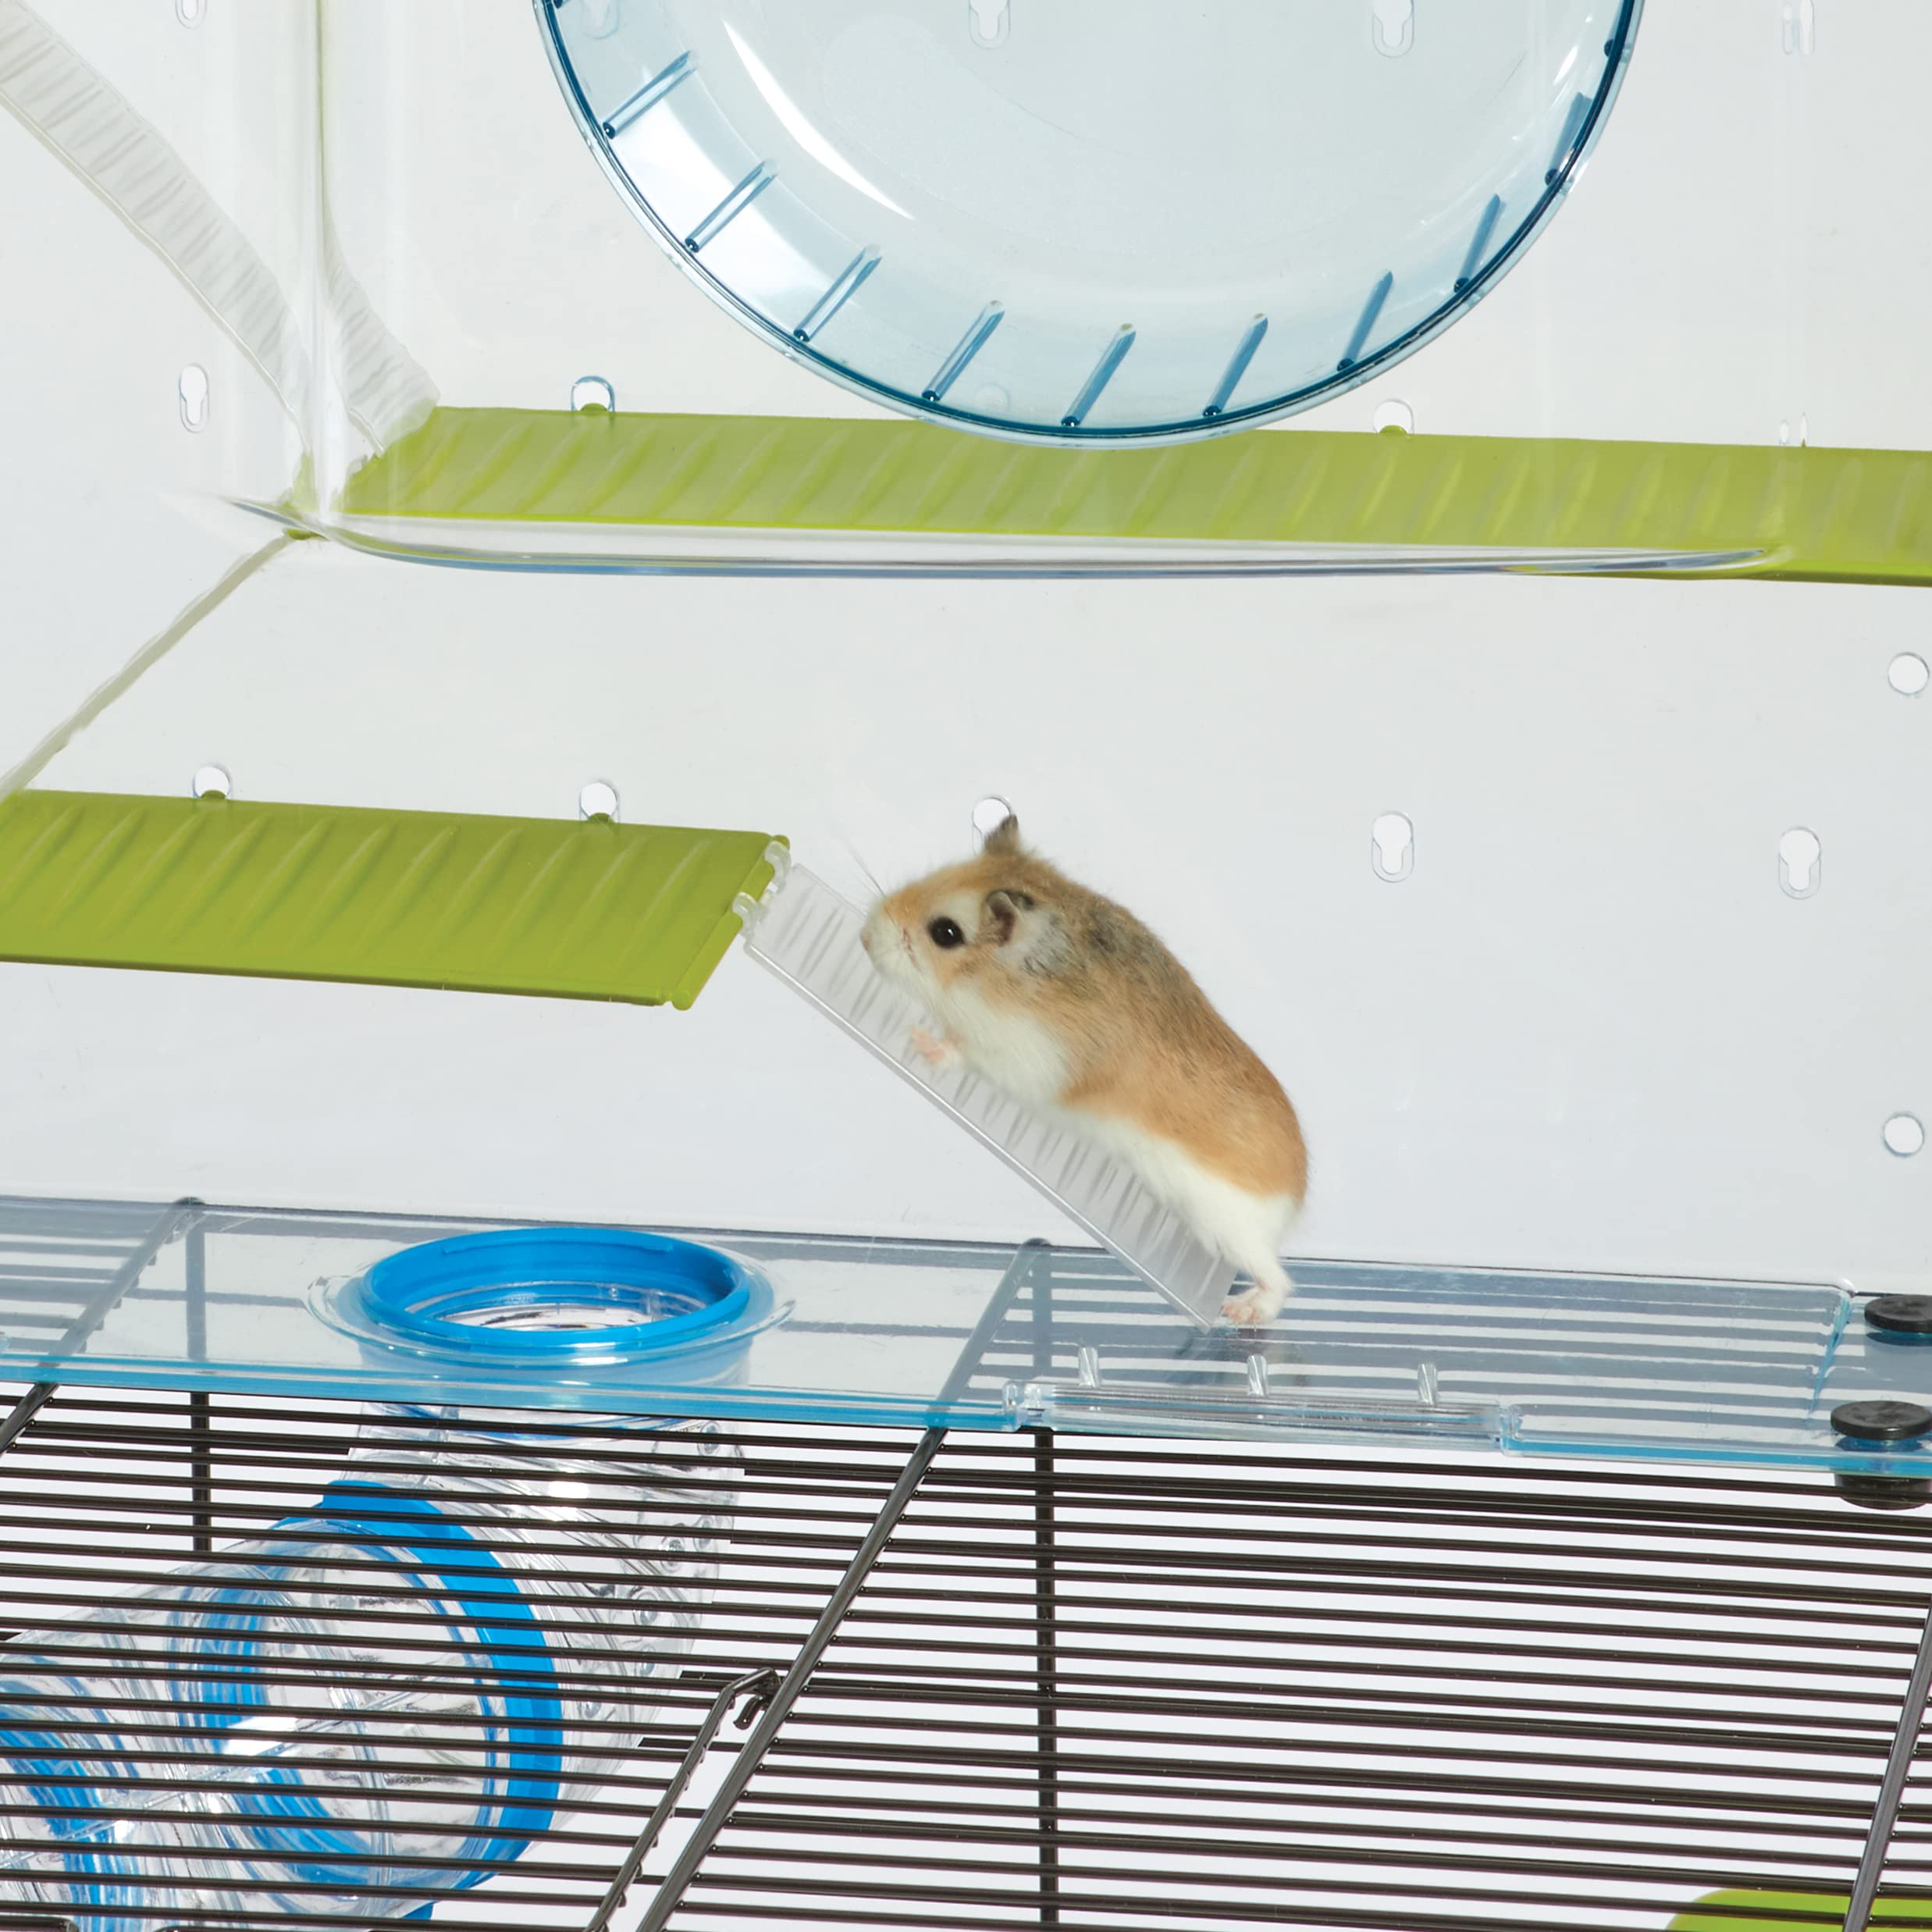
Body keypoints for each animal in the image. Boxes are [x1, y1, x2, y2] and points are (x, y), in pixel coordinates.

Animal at [860, 815, 1306, 1326]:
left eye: (946, 933)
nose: (864, 938)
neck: (1010, 978)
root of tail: (1296, 1197)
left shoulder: (1024, 1059)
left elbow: (964, 1051)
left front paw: (921, 1041)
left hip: (1228, 1226)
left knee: (1280, 1279)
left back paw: (1242, 1311)